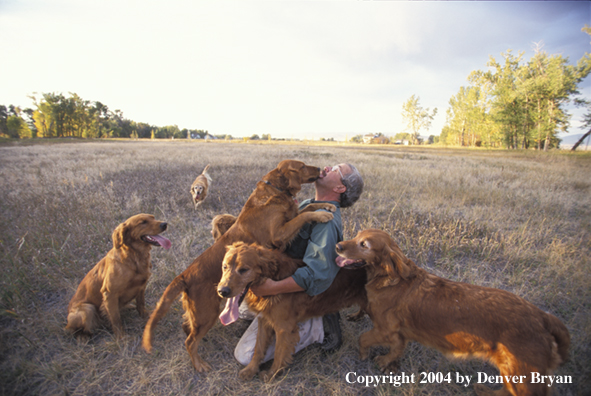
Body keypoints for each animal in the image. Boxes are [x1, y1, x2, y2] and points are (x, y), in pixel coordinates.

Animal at [336, 229, 572, 396]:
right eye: (356, 235)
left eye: (364, 244)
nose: (338, 245)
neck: (391, 279)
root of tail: (542, 316)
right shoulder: (398, 334)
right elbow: (396, 349)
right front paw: (387, 363)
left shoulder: (384, 329)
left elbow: (363, 339)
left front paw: (365, 356)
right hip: (513, 373)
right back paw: (485, 391)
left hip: (523, 377)